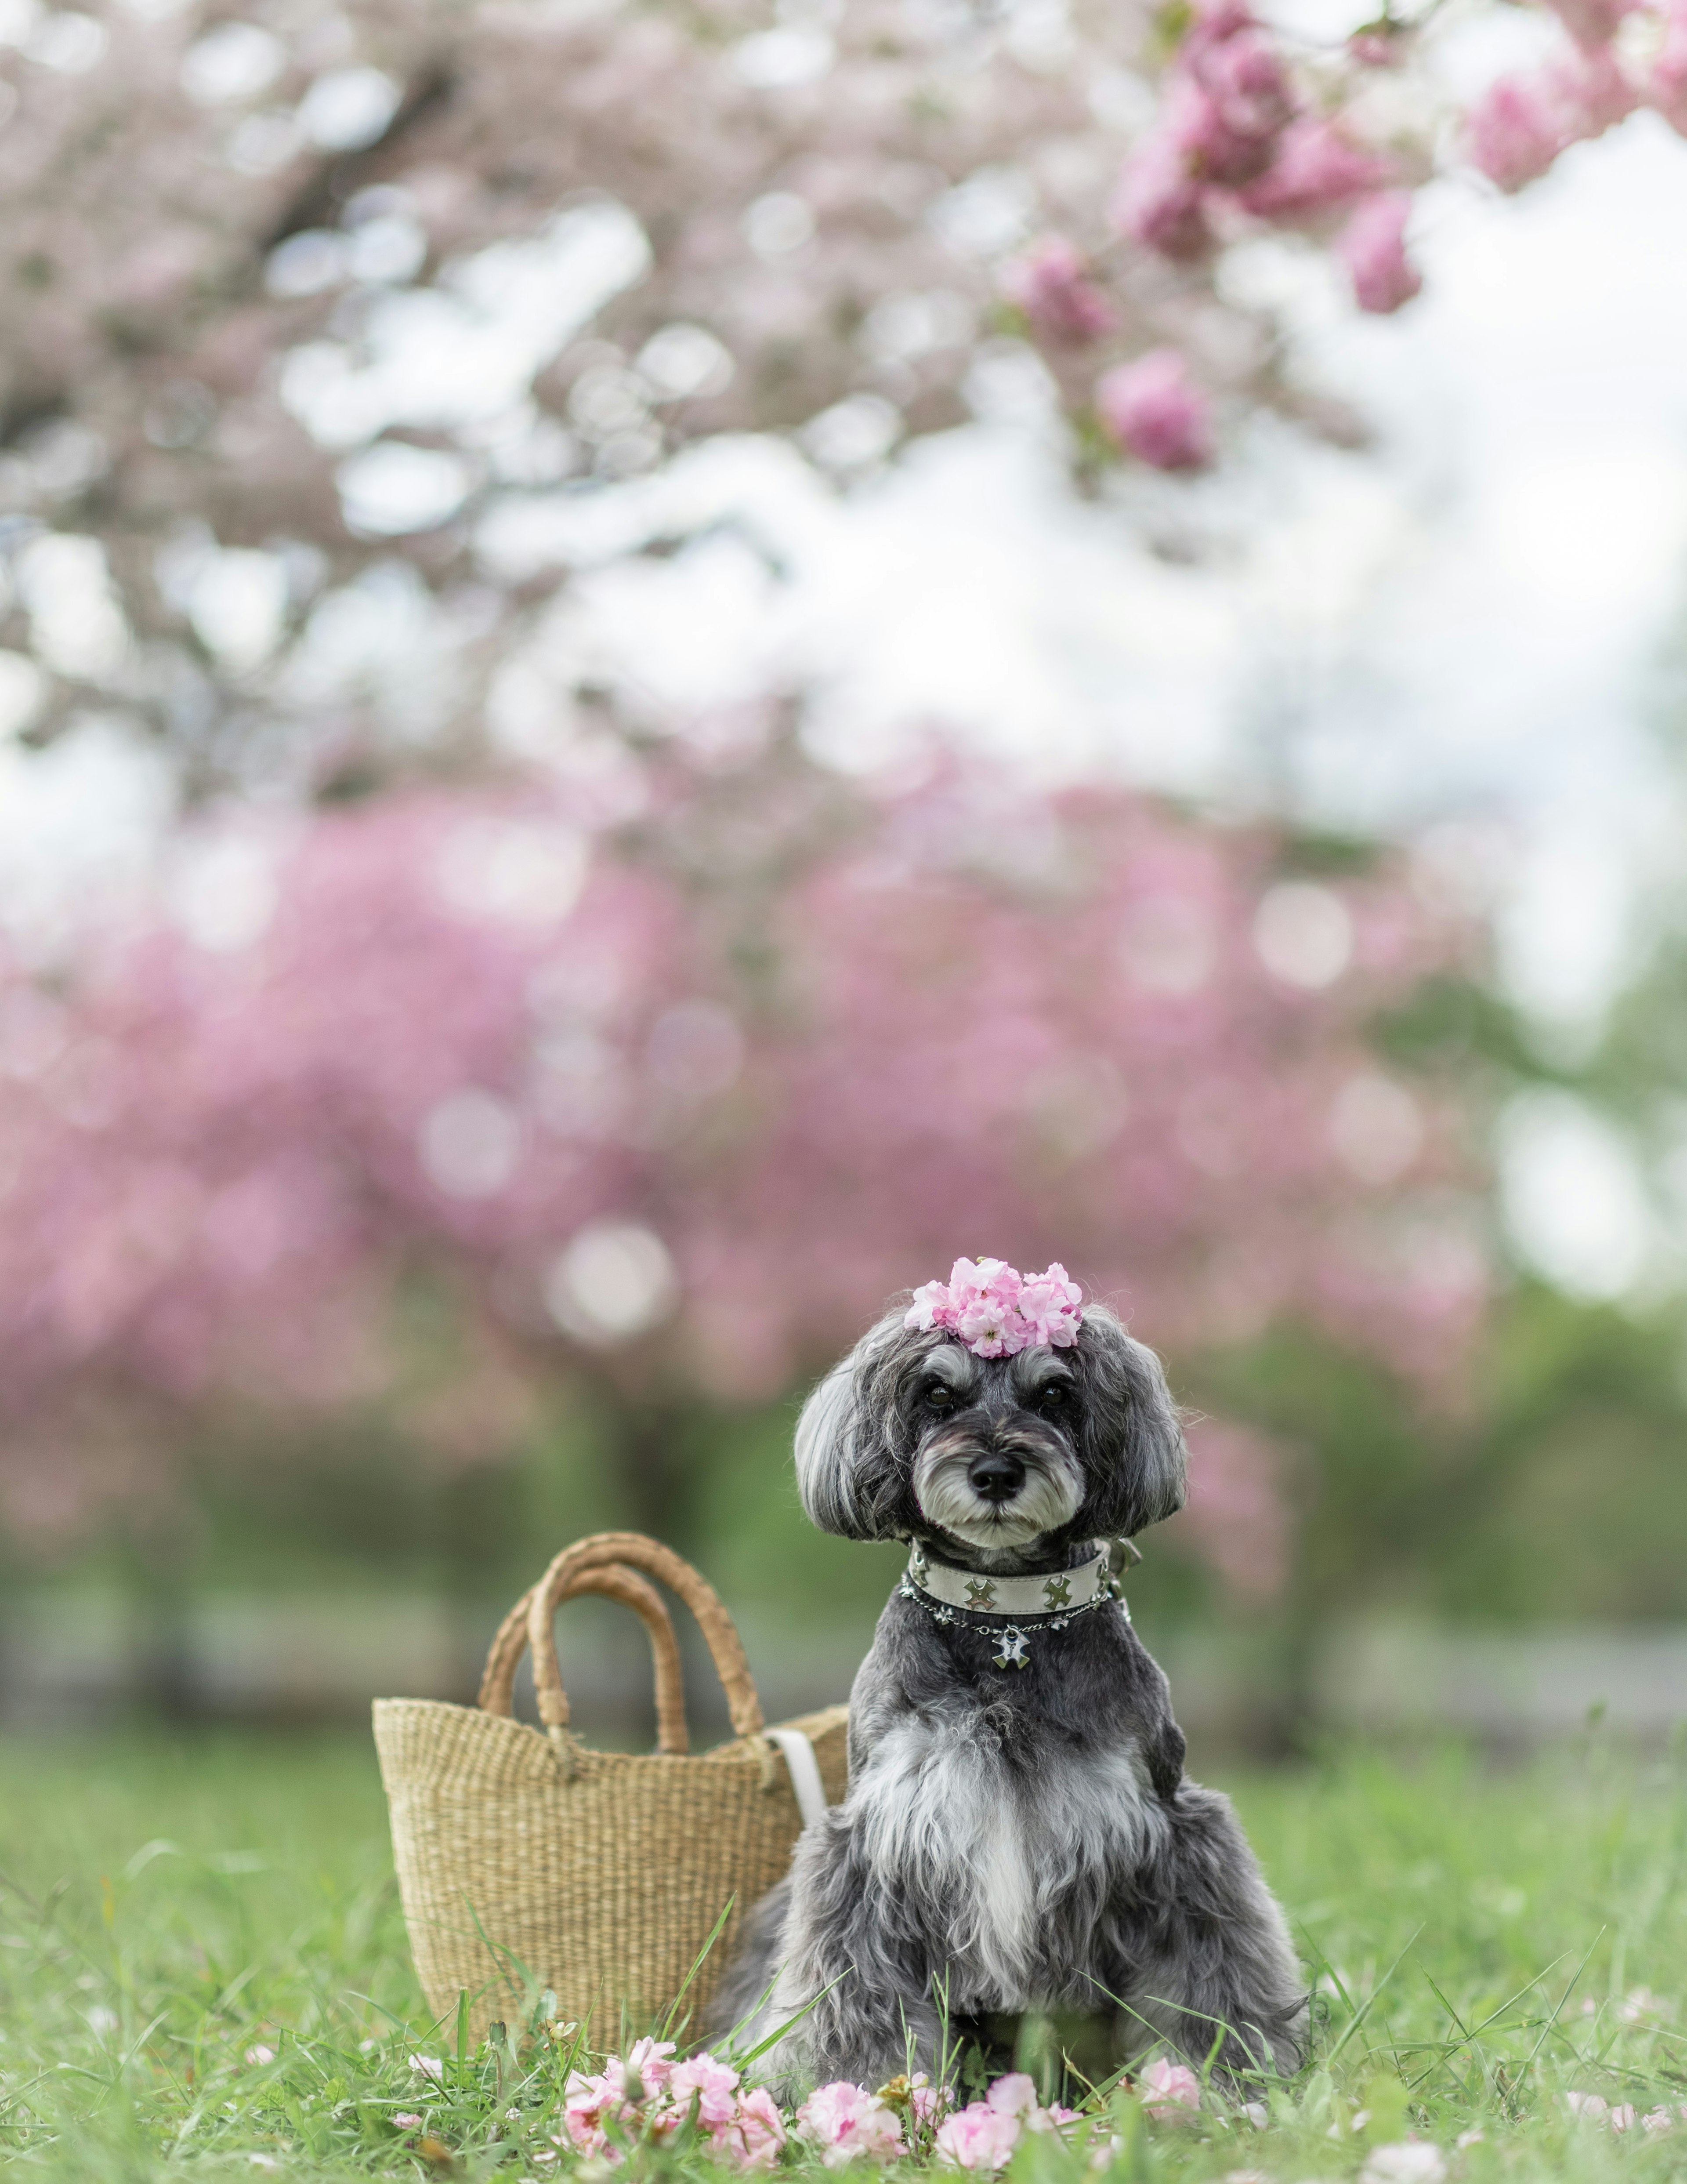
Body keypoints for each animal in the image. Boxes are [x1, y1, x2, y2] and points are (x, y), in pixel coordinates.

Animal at [711, 1266, 1300, 2097]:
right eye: (936, 1393)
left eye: (1055, 1392)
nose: (995, 1472)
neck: (1006, 1621)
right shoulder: (872, 1851)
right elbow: (858, 1992)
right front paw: (862, 2086)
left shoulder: (1178, 1839)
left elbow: (1211, 1981)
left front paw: (1224, 2083)